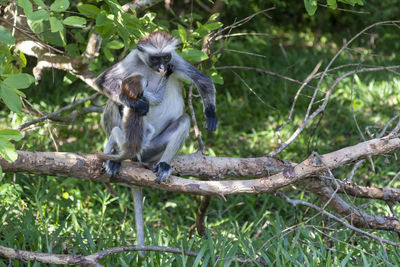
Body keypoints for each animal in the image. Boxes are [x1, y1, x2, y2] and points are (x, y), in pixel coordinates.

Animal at [95, 30, 217, 258]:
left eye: (165, 57)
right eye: (155, 59)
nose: (162, 68)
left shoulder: (175, 60)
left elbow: (203, 80)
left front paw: (211, 113)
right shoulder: (132, 59)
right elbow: (103, 81)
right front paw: (134, 102)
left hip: (152, 150)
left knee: (184, 120)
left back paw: (163, 165)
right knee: (113, 103)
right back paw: (115, 159)